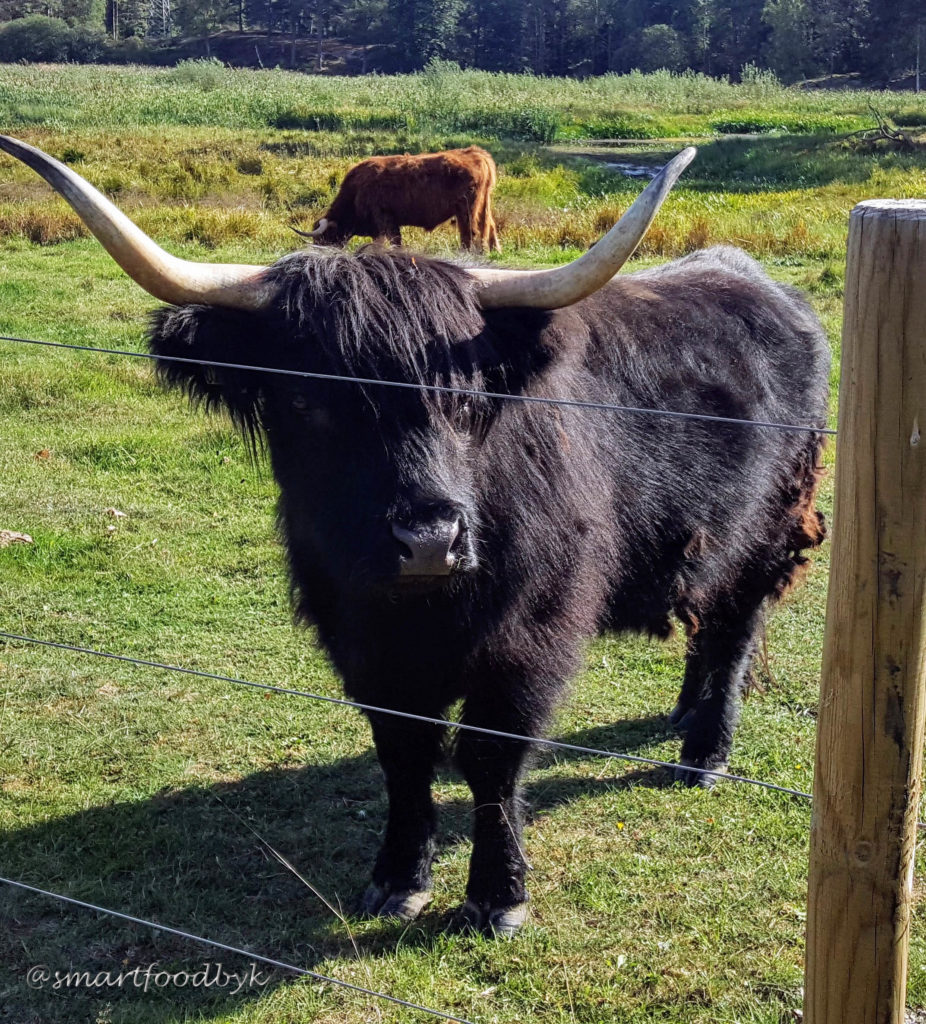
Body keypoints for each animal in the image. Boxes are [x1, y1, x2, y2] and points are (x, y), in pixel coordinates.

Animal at [295, 145, 499, 252]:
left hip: (466, 209)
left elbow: (394, 242)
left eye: (323, 239)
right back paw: (493, 250)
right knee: (489, 226)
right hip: (484, 205)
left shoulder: (386, 220)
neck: (355, 193)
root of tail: (475, 153)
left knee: (469, 232)